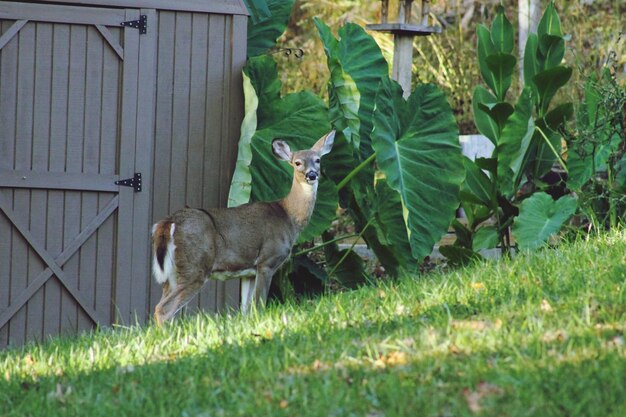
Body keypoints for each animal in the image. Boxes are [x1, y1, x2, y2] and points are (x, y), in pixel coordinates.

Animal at [151, 130, 334, 324]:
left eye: (317, 160)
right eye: (297, 162)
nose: (312, 175)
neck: (288, 216)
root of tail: (169, 222)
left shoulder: (248, 272)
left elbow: (246, 310)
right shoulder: (267, 260)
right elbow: (259, 305)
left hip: (172, 274)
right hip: (195, 266)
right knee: (164, 309)